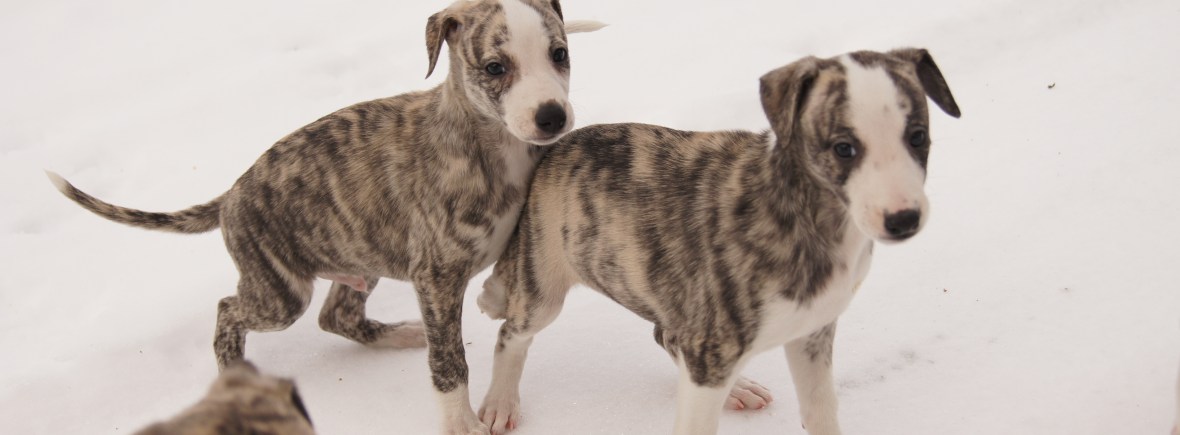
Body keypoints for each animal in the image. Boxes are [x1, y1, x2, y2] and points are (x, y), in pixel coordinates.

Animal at [475, 48, 961, 434]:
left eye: (918, 137)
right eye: (844, 148)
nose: (904, 219)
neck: (806, 211)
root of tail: (558, 146)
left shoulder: (811, 334)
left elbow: (821, 412)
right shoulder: (714, 349)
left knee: (666, 336)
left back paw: (737, 390)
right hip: (544, 285)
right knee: (511, 334)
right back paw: (500, 402)